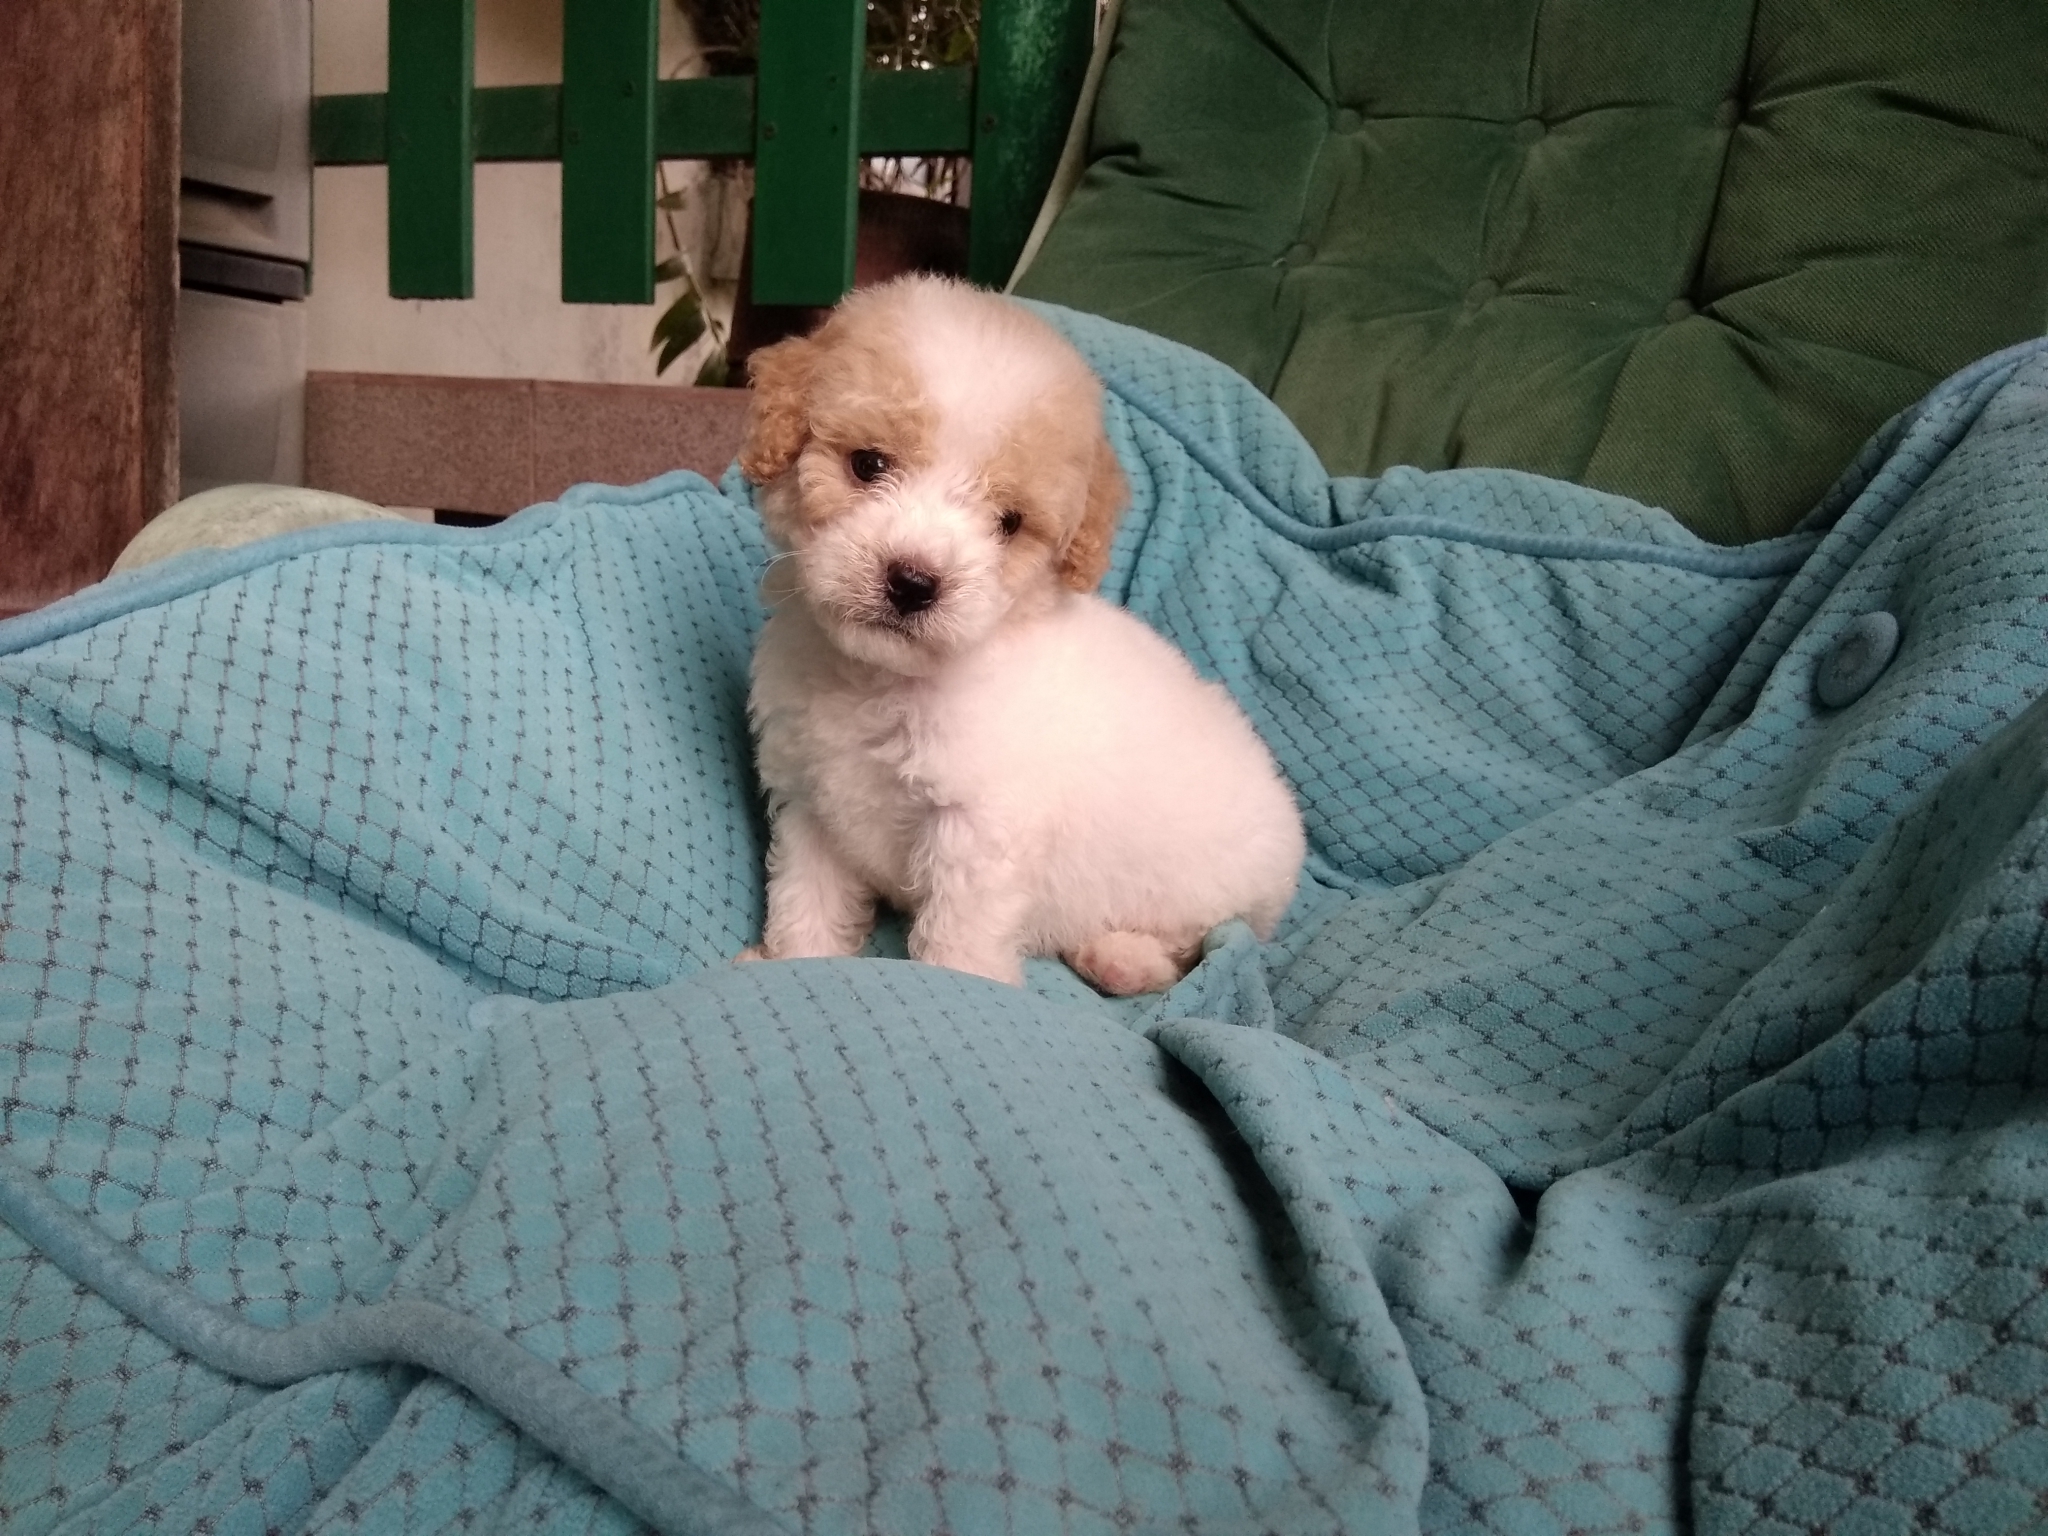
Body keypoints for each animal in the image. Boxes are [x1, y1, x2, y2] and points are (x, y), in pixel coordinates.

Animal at [735, 276, 1304, 995]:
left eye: (1007, 523)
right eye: (868, 464)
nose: (913, 582)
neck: (880, 680)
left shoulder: (979, 828)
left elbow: (958, 931)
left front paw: (959, 987)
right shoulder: (812, 803)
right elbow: (805, 894)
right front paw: (795, 961)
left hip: (1206, 888)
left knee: (1202, 940)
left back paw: (1124, 958)